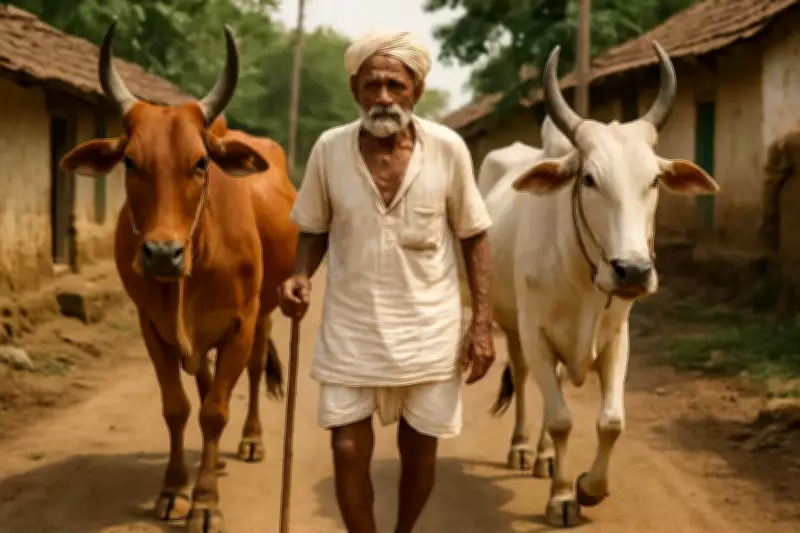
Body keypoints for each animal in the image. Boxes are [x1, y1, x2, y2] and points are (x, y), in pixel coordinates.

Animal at [59, 20, 297, 533]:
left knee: (250, 374)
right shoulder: (154, 326)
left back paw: (250, 441)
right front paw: (173, 491)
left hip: (264, 313)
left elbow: (215, 412)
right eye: (131, 162)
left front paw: (205, 502)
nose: (162, 255)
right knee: (204, 380)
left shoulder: (240, 323)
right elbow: (178, 408)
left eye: (200, 162)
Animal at [474, 41, 719, 527]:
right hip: (512, 326)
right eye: (589, 178)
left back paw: (545, 459)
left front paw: (588, 487)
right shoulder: (536, 333)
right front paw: (563, 497)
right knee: (526, 380)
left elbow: (610, 422)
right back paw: (522, 448)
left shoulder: (616, 337)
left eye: (654, 180)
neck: (582, 276)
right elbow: (562, 419)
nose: (633, 270)